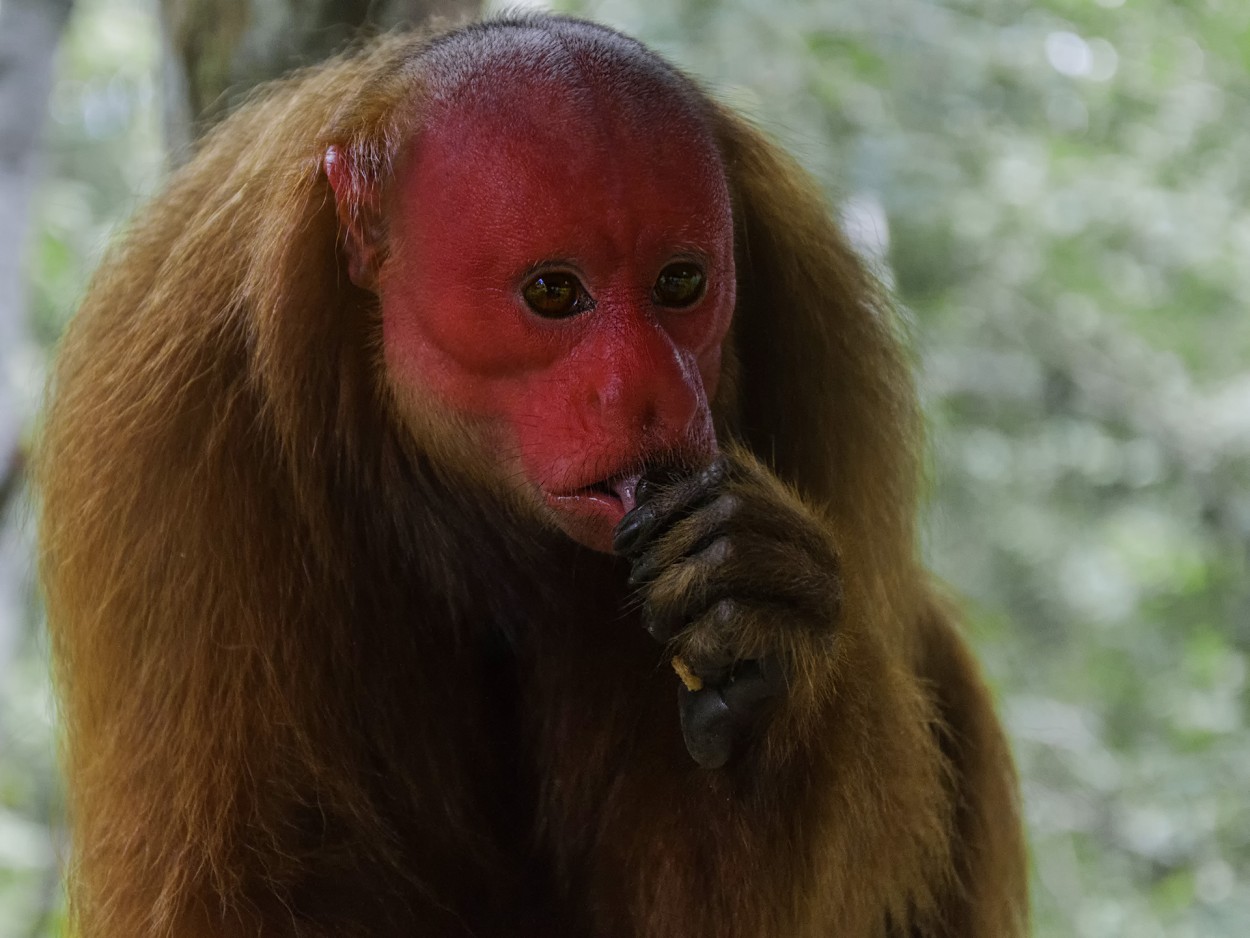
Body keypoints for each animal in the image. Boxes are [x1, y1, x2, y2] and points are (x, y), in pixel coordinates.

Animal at [44, 12, 1030, 938]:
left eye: (680, 283)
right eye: (555, 293)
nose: (654, 393)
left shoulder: (816, 356)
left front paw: (763, 629)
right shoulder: (182, 431)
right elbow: (261, 886)